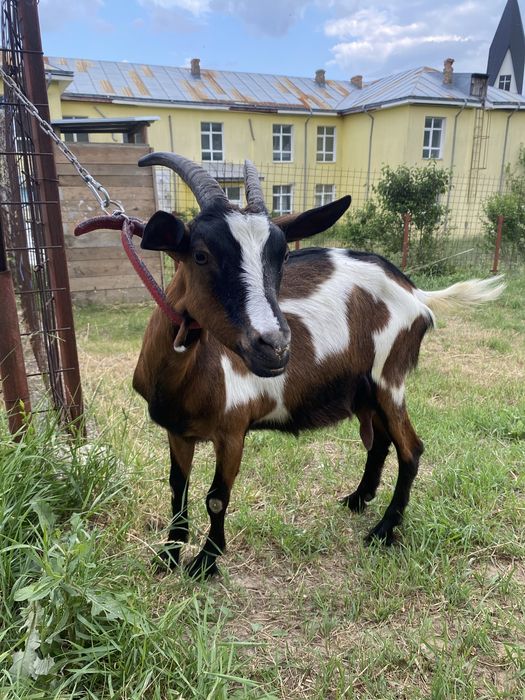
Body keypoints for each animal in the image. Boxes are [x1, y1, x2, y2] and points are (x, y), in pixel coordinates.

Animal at [133, 152, 504, 578]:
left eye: (282, 256)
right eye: (200, 254)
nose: (275, 346)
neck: (185, 377)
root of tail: (415, 291)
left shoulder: (232, 429)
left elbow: (216, 497)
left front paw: (206, 562)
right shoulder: (177, 430)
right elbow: (177, 488)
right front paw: (168, 554)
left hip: (389, 379)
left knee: (411, 449)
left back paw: (383, 530)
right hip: (365, 389)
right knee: (381, 443)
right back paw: (358, 499)